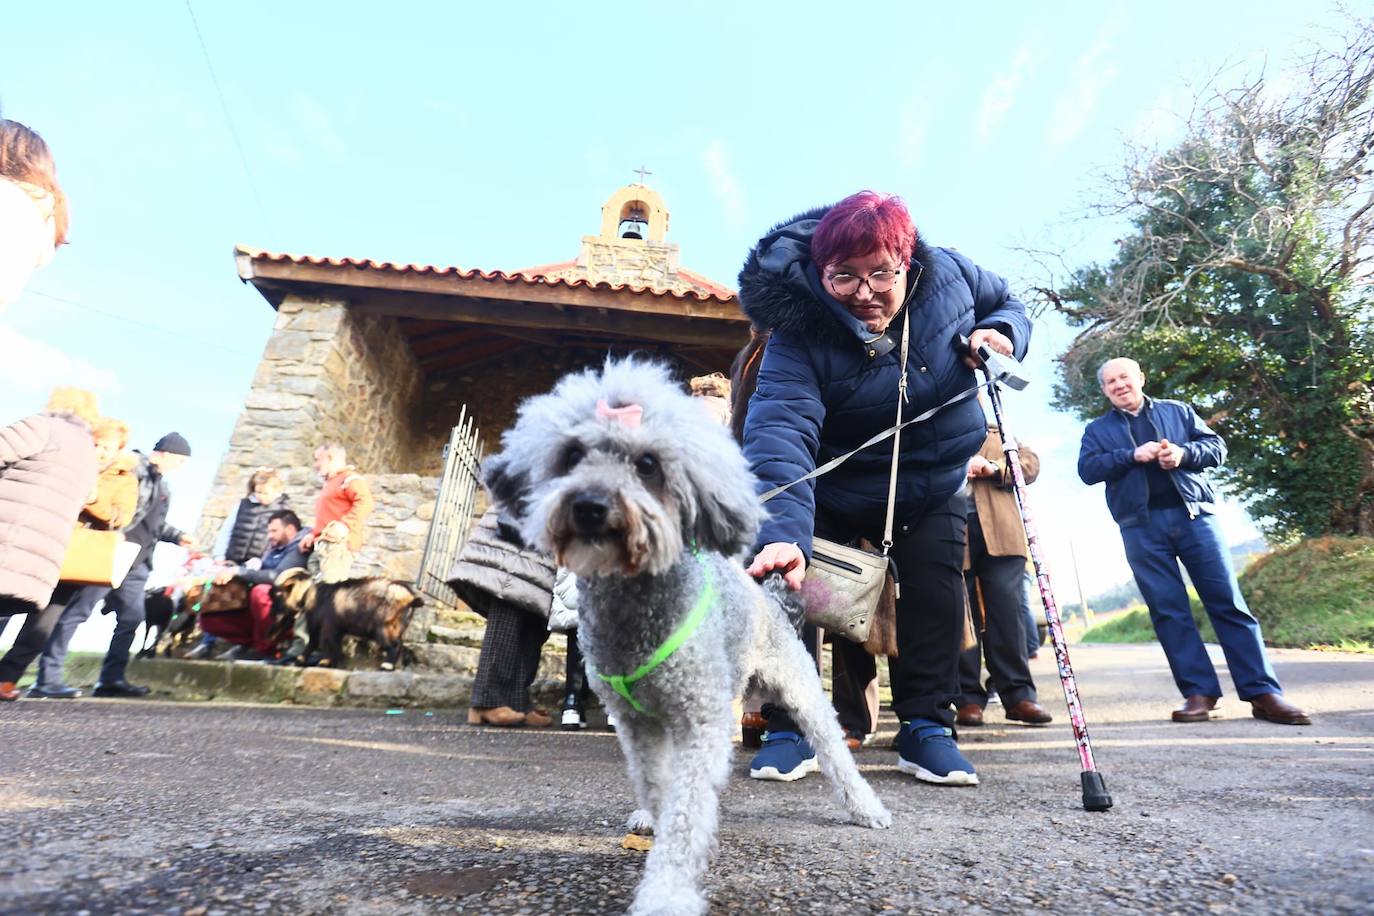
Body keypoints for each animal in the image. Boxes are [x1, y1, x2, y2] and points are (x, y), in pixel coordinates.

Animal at [483, 357, 890, 916]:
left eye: (648, 465)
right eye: (571, 455)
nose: (590, 505)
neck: (638, 611)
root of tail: (771, 595)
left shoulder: (701, 721)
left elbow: (686, 809)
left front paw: (667, 893)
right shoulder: (639, 724)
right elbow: (662, 790)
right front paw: (656, 827)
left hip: (802, 692)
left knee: (836, 754)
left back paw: (866, 807)